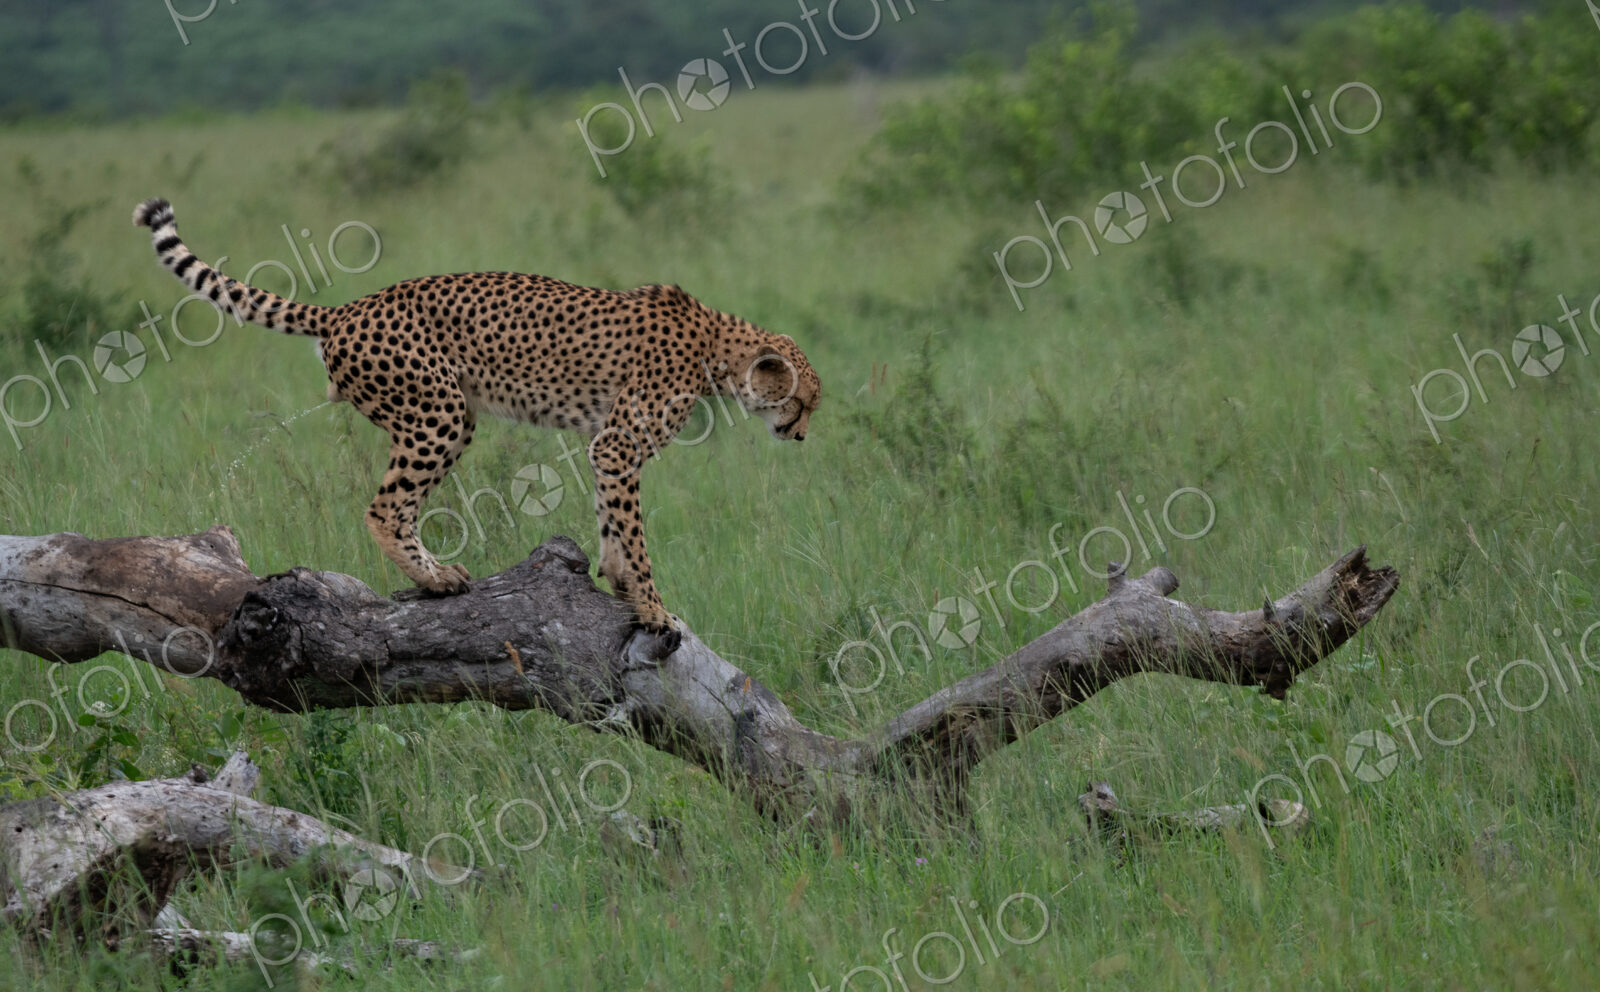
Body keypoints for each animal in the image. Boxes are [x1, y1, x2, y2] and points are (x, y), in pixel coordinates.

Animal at [132, 197, 820, 653]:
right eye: (805, 402)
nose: (803, 435)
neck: (717, 350)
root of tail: (350, 307)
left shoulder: (606, 447)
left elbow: (612, 524)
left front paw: (623, 585)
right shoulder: (620, 444)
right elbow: (635, 533)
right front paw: (653, 608)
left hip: (448, 416)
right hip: (439, 411)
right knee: (385, 507)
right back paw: (434, 577)